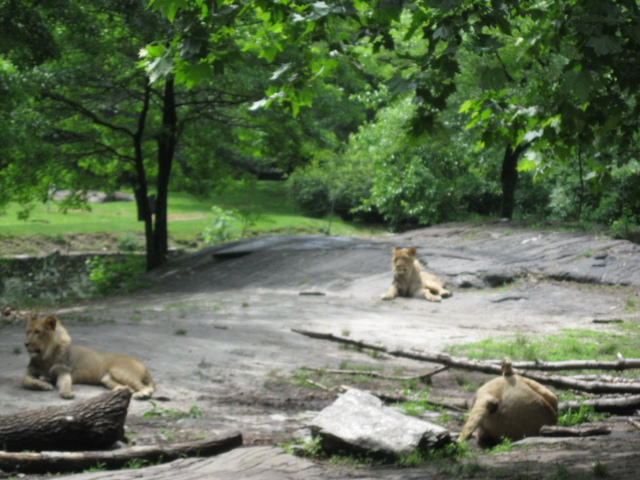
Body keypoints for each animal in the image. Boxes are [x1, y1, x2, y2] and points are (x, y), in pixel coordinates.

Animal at [23, 315, 155, 400]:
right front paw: (43, 384)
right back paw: (122, 390)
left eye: (37, 332)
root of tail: (143, 365)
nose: (26, 344)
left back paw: (141, 394)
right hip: (106, 379)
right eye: (27, 332)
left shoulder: (63, 371)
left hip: (120, 371)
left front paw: (67, 392)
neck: (45, 356)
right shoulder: (30, 371)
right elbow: (27, 381)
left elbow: (66, 383)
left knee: (146, 388)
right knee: (128, 387)